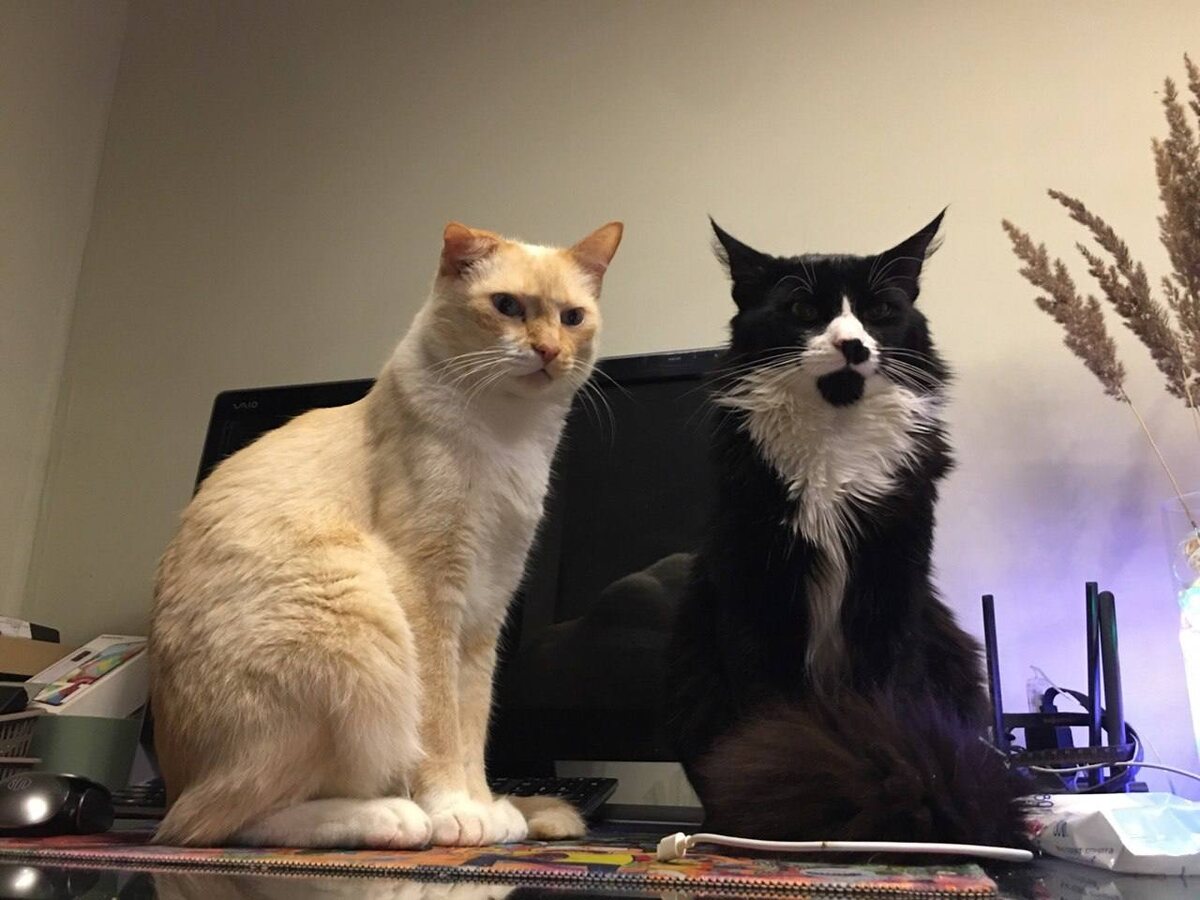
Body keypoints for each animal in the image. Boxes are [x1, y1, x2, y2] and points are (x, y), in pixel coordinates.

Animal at [149, 220, 623, 848]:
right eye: (507, 306)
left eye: (572, 317)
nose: (548, 351)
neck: (509, 434)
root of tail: (171, 779)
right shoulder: (429, 592)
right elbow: (440, 726)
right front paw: (454, 811)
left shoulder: (485, 609)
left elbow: (472, 728)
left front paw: (485, 808)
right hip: (359, 615)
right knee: (211, 823)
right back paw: (394, 817)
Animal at [666, 212, 1028, 845]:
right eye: (802, 310)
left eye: (879, 309)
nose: (853, 344)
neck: (834, 432)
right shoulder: (756, 588)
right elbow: (766, 707)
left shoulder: (895, 582)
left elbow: (890, 691)